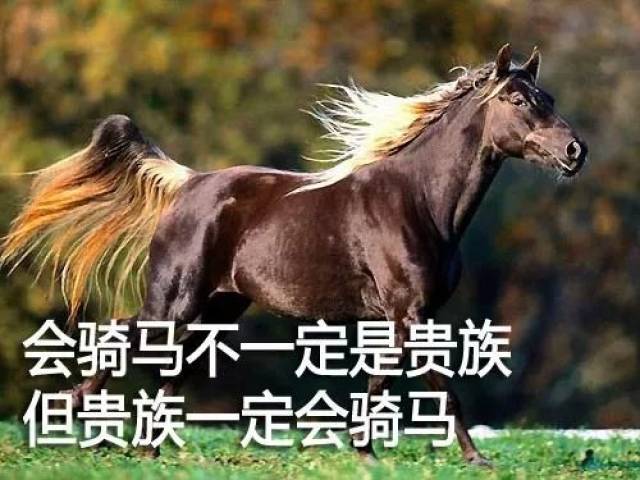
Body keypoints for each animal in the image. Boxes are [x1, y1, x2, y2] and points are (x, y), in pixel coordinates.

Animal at [1, 44, 587, 465]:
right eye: (517, 101)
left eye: (551, 98)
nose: (574, 152)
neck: (420, 202)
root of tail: (190, 183)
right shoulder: (412, 312)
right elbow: (440, 385)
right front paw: (477, 459)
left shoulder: (403, 317)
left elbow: (381, 380)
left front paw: (365, 455)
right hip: (175, 301)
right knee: (122, 332)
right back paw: (71, 409)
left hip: (219, 307)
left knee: (171, 365)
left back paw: (145, 448)